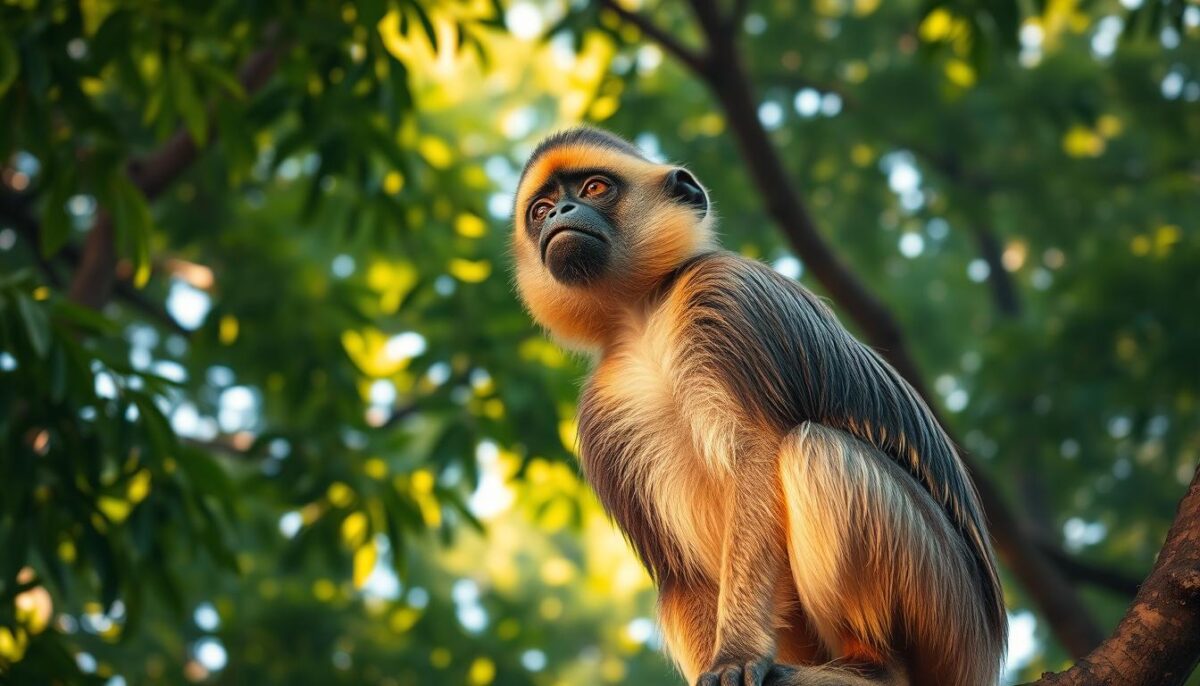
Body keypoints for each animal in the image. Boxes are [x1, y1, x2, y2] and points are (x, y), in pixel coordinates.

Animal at [510, 127, 1006, 686]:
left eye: (595, 187)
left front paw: (736, 654)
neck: (643, 319)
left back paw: (873, 665)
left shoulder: (721, 291)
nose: (561, 211)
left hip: (945, 606)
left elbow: (756, 453)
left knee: (817, 449)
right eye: (541, 209)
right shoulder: (602, 402)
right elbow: (678, 573)